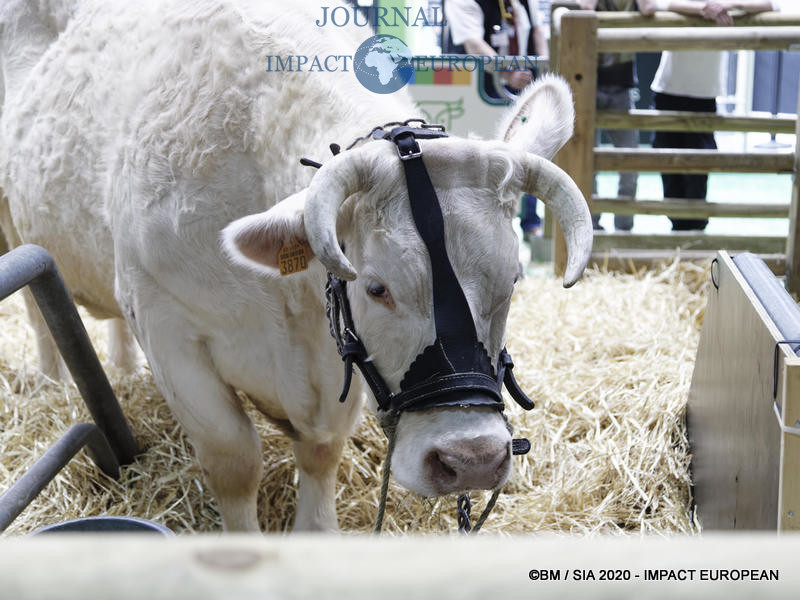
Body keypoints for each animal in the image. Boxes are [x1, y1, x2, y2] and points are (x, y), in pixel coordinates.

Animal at [0, 0, 588, 528]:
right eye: (376, 287)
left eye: (512, 281)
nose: (471, 459)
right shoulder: (166, 324)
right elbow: (235, 459)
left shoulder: (335, 361)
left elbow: (321, 449)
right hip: (14, 228)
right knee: (37, 315)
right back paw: (51, 383)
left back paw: (122, 369)